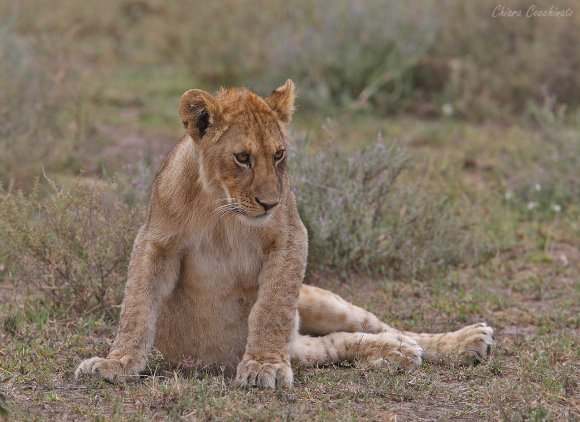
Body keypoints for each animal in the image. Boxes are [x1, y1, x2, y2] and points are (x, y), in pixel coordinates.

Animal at [76, 81, 494, 388]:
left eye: (278, 155)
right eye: (242, 158)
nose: (270, 203)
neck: (220, 209)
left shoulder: (292, 237)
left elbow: (272, 307)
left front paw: (263, 364)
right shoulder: (155, 242)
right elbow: (137, 305)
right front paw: (116, 363)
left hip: (319, 300)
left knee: (379, 326)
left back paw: (464, 341)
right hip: (309, 342)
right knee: (339, 344)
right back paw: (397, 353)